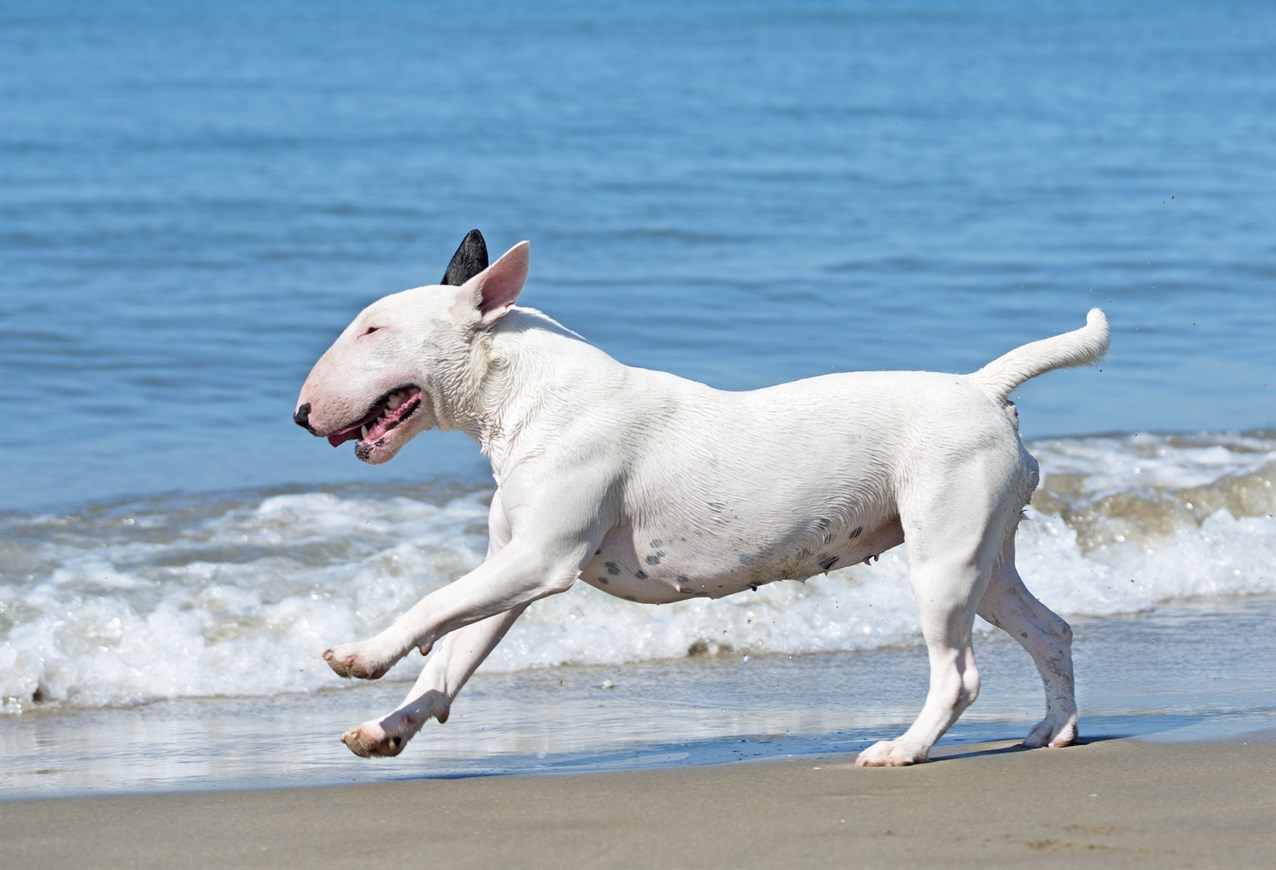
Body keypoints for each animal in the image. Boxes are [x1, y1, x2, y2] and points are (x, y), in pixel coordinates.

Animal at [296, 230, 1107, 765]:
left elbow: (432, 604)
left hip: (945, 555)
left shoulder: (540, 560)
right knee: (1049, 629)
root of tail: (982, 387)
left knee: (960, 673)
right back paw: (1052, 731)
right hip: (983, 555)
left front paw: (362, 654)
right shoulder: (512, 565)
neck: (530, 396)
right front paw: (388, 727)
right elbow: (452, 656)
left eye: (373, 328)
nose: (301, 415)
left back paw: (903, 748)